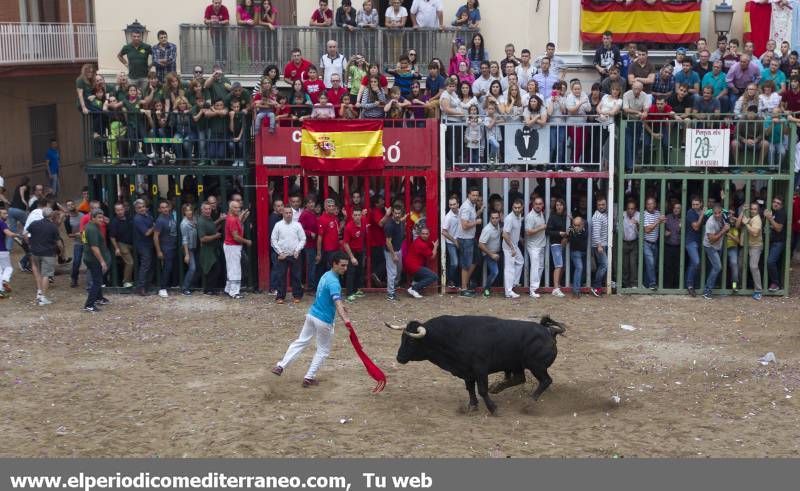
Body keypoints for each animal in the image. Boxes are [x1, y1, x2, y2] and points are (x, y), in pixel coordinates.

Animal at [386, 316, 564, 416]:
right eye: (402, 338)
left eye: (411, 341)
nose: (399, 357)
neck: (452, 336)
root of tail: (549, 332)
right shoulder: (467, 371)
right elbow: (470, 389)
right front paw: (472, 406)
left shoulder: (480, 370)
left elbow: (482, 390)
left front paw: (493, 409)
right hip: (517, 365)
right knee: (519, 379)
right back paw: (497, 387)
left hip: (536, 366)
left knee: (545, 381)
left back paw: (529, 403)